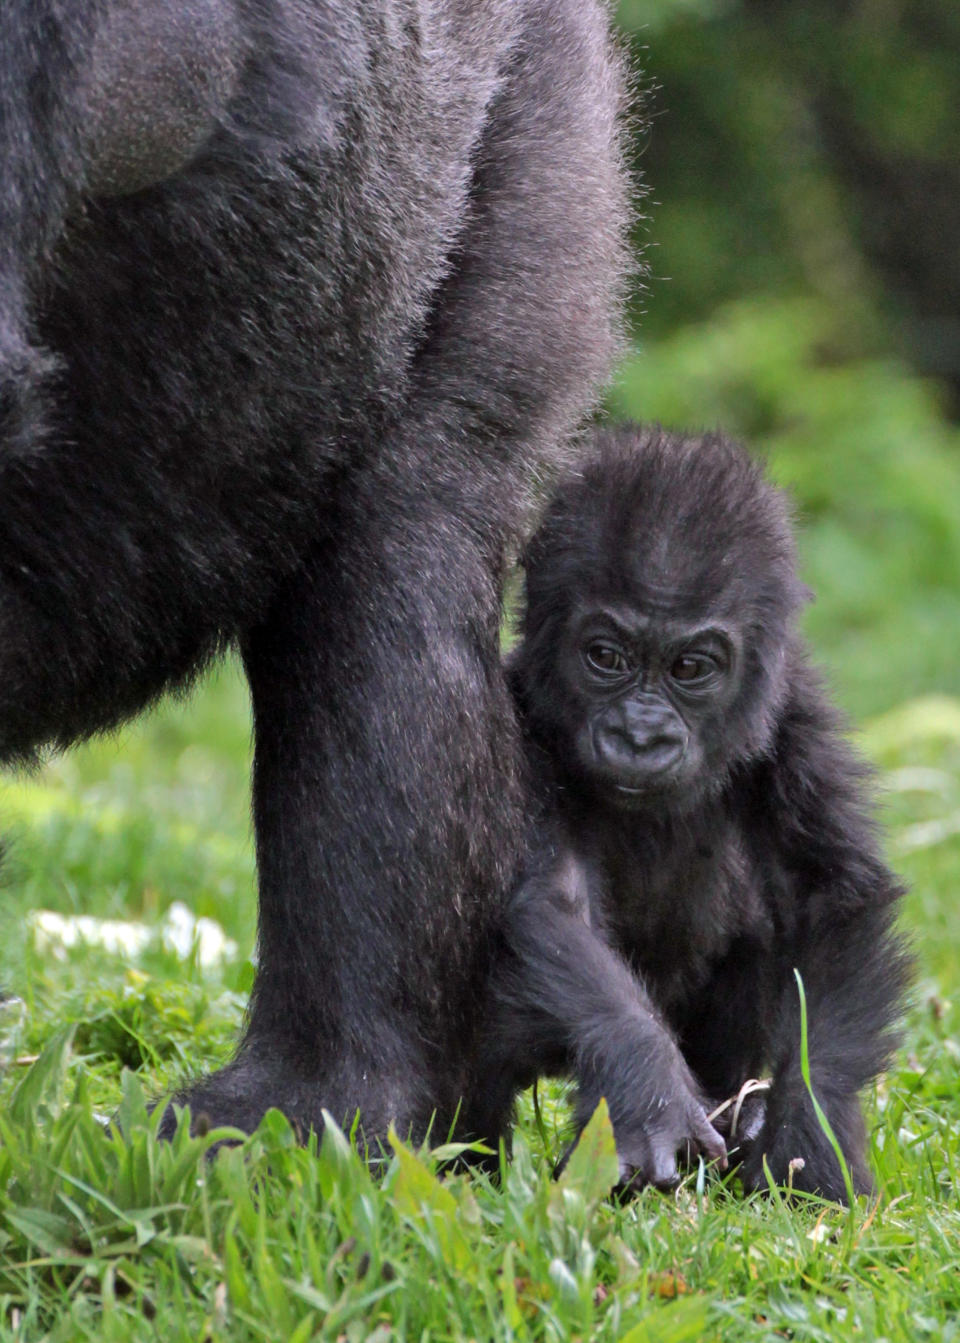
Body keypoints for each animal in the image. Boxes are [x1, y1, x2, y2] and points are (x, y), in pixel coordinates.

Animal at [491, 421, 913, 1197]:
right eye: (605, 656)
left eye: (690, 668)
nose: (640, 735)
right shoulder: (522, 722)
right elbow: (554, 902)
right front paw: (646, 1081)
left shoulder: (794, 717)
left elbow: (837, 898)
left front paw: (810, 1127)